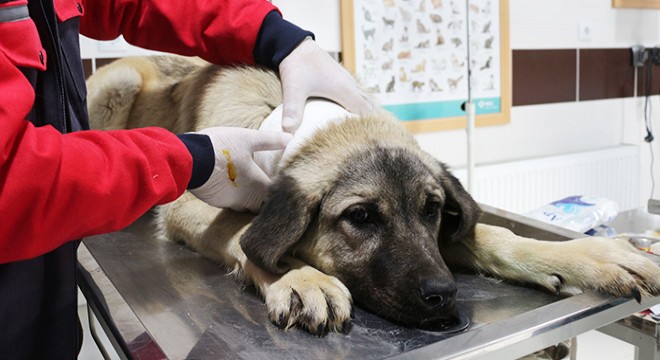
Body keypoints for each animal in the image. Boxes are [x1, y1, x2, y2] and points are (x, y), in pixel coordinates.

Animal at [86, 54, 660, 336]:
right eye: (360, 217)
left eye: (432, 210)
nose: (444, 296)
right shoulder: (188, 206)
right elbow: (246, 233)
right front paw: (301, 277)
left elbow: (495, 234)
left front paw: (592, 255)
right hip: (116, 83)